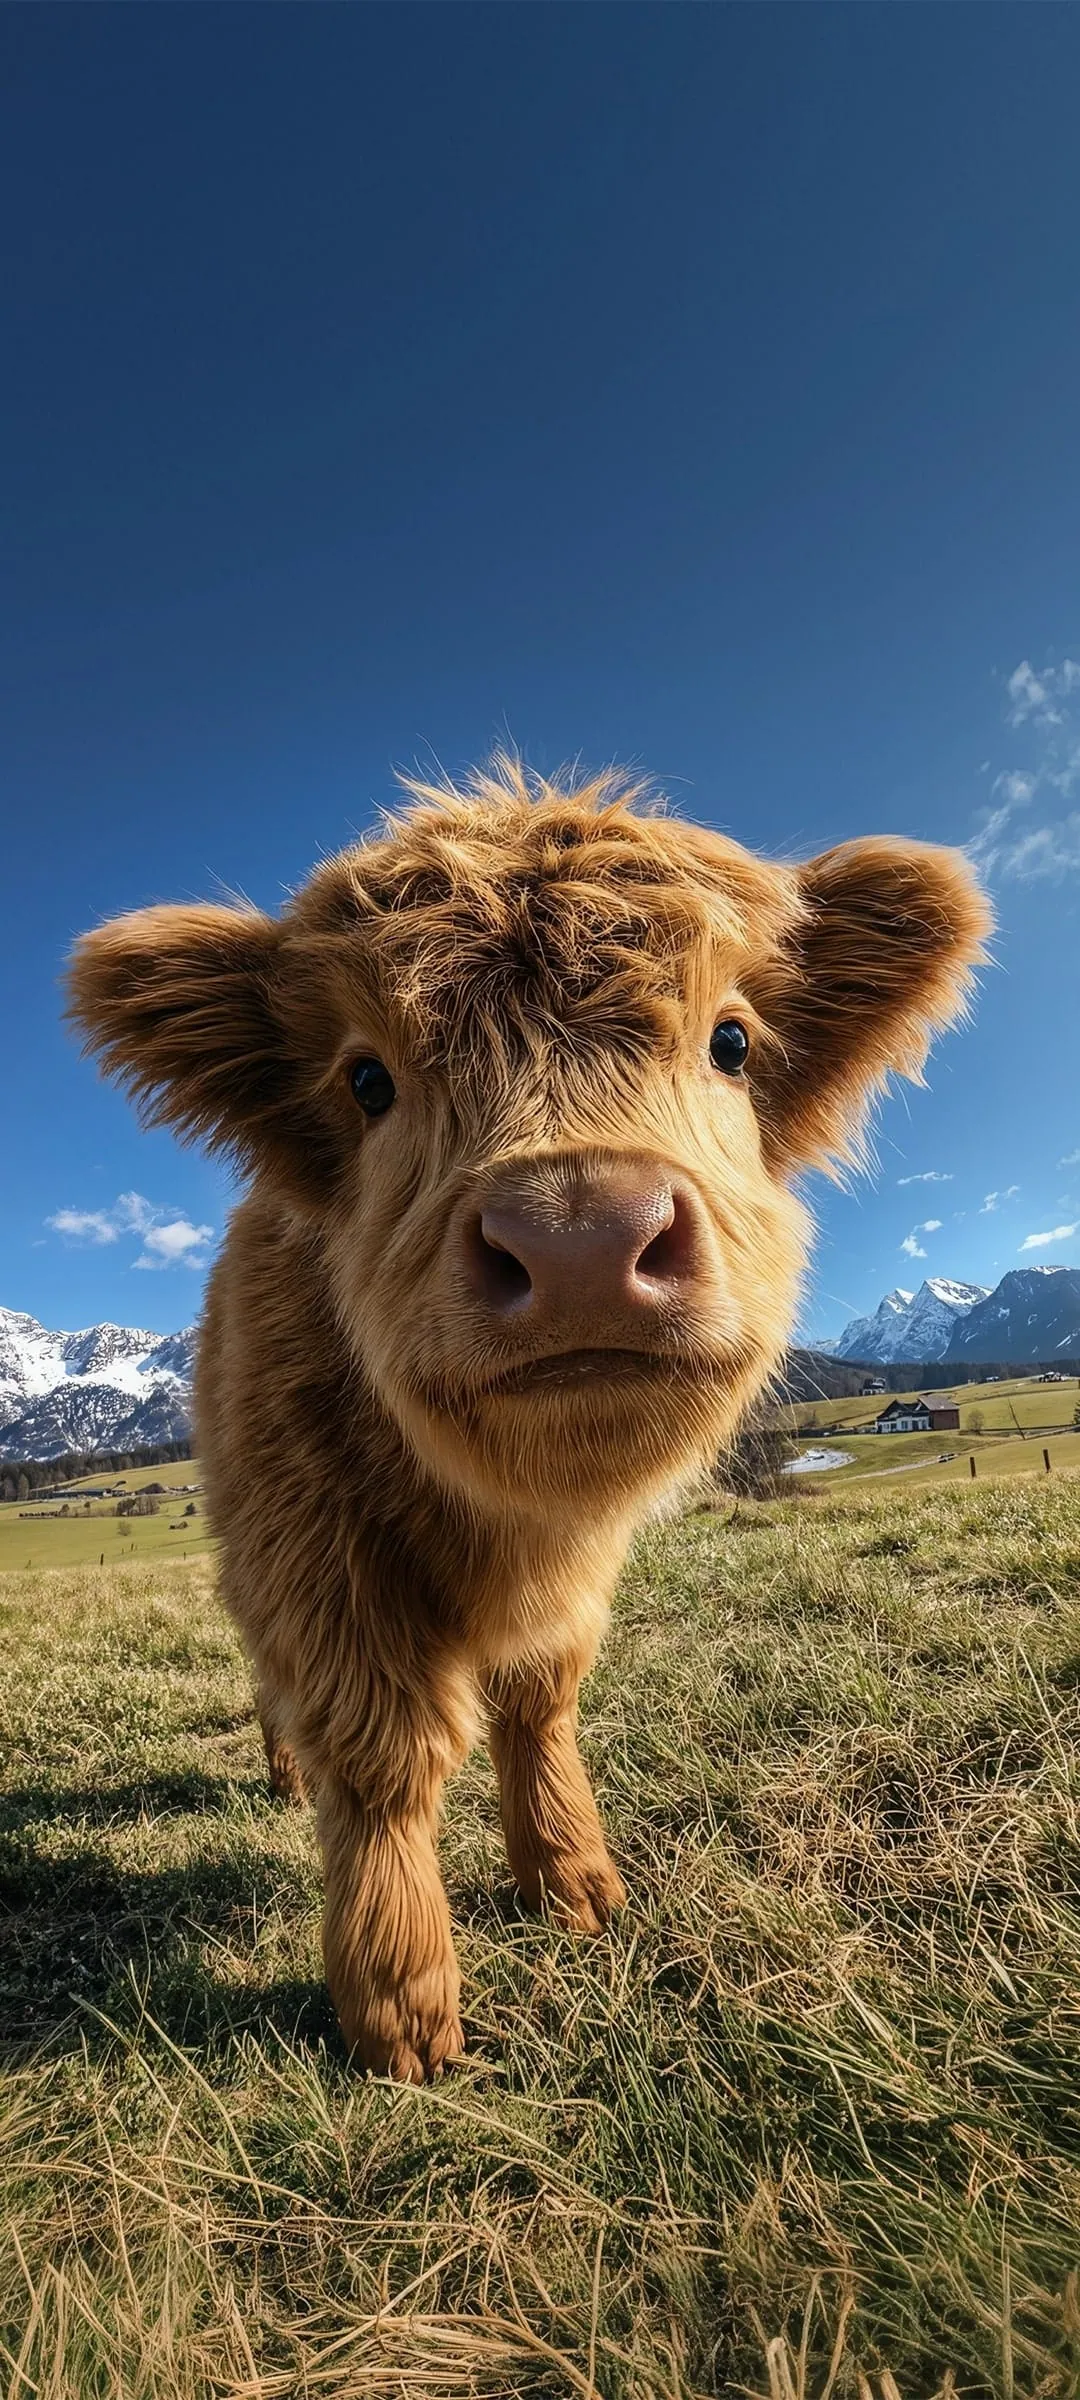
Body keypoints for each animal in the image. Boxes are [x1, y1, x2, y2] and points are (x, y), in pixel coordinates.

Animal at [68, 756, 990, 2080]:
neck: (507, 1524)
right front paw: (401, 2010)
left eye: (731, 1040)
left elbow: (539, 1698)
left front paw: (570, 1880)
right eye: (367, 1078)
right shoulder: (315, 1548)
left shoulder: (574, 1578)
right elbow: (384, 1757)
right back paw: (286, 1772)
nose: (580, 1240)